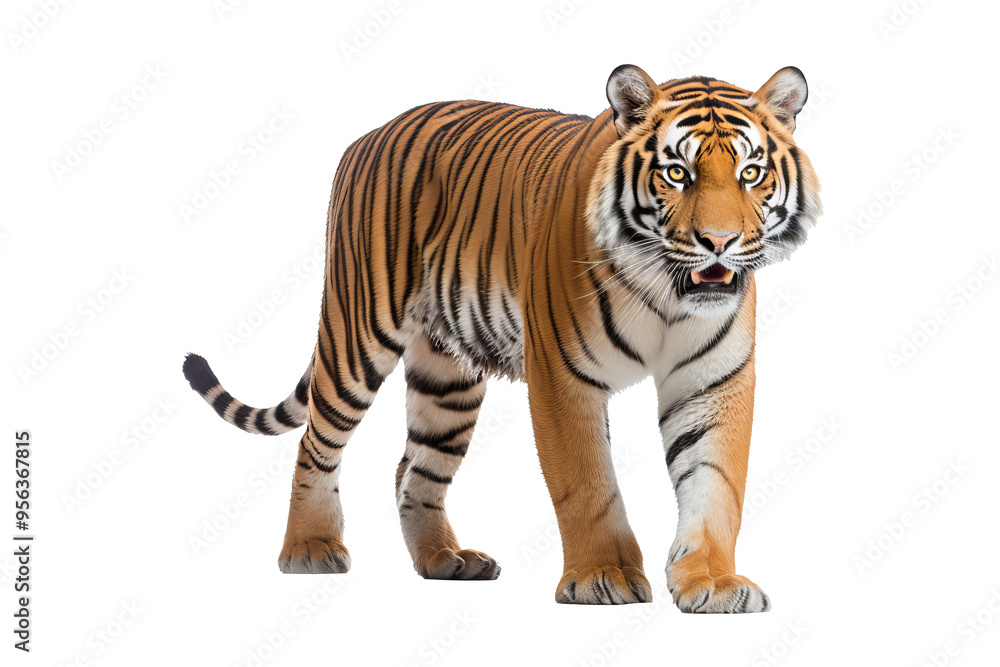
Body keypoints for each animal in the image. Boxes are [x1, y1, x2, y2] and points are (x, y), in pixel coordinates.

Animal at [183, 64, 821, 611]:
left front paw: (713, 582)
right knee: (316, 441)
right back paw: (309, 549)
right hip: (357, 333)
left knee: (415, 468)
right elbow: (586, 482)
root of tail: (367, 135)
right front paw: (603, 577)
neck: (667, 289)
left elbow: (715, 484)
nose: (719, 242)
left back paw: (444, 560)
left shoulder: (713, 381)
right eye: (676, 173)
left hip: (447, 379)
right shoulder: (564, 374)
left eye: (751, 173)